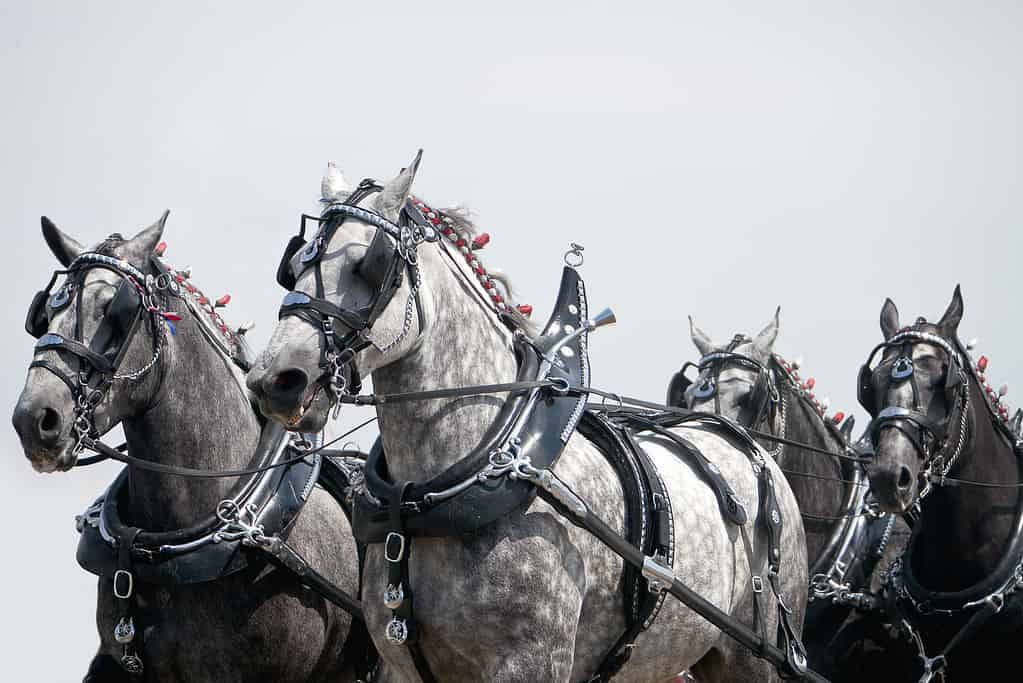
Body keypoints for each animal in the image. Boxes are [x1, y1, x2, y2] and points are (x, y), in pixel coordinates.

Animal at [249, 154, 814, 683]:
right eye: (294, 263)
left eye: (371, 263)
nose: (277, 379)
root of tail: (749, 446)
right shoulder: (398, 662)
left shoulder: (531, 663)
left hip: (752, 657)